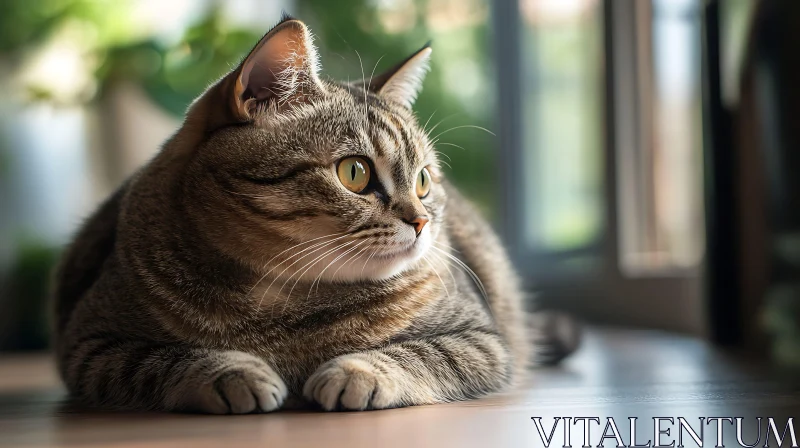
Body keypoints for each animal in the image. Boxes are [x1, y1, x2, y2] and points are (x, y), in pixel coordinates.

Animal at [51, 14, 576, 412]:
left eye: (424, 181)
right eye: (354, 173)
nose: (422, 221)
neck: (282, 302)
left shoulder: (482, 339)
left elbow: (419, 355)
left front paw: (356, 371)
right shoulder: (91, 345)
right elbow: (169, 360)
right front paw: (232, 372)